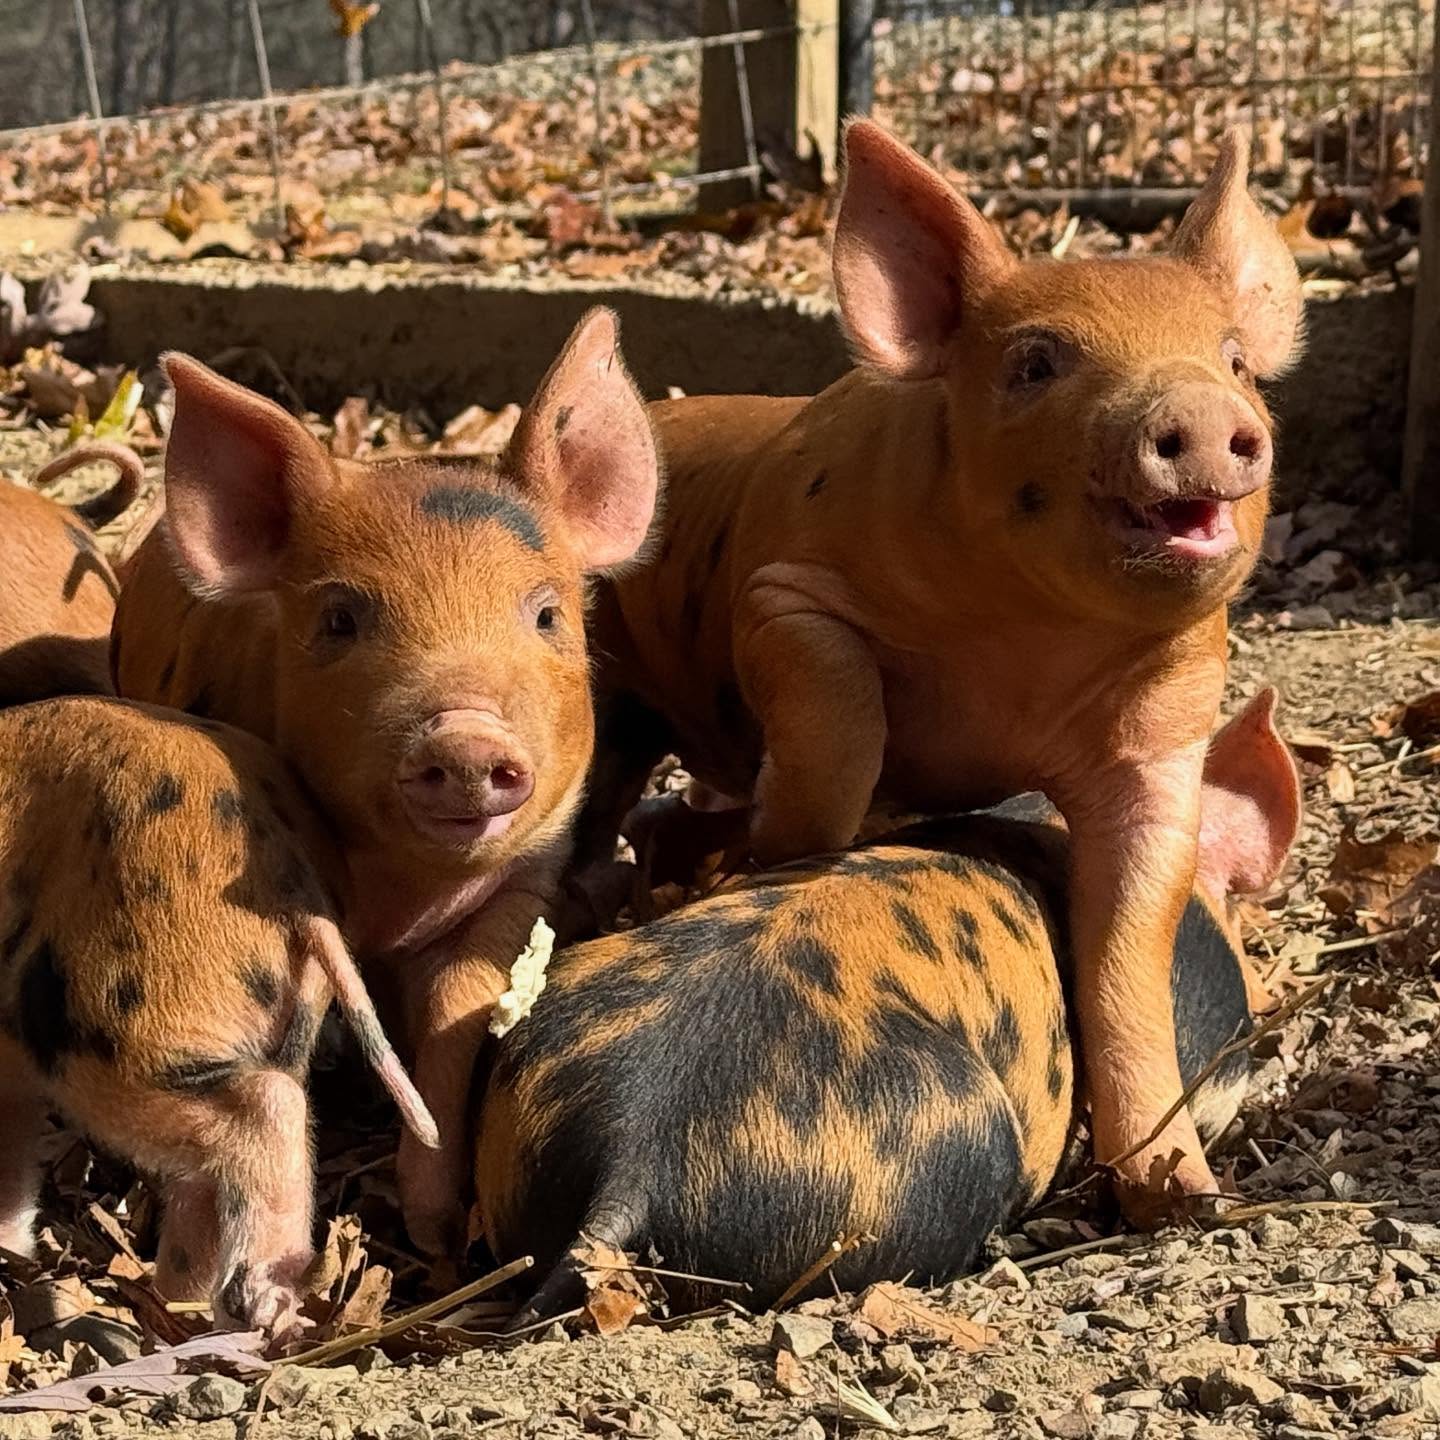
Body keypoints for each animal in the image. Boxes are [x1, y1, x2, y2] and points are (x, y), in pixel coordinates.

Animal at [109, 309, 661, 1257]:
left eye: (547, 614)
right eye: (340, 619)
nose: (467, 738)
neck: (400, 899)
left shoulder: (519, 893)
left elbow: (454, 1019)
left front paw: (437, 1237)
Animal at [579, 124, 1304, 1221]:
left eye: (1233, 359)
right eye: (1036, 362)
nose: (1198, 407)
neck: (1023, 664)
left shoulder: (1164, 730)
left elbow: (1133, 939)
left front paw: (1176, 1196)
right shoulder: (785, 598)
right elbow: (839, 749)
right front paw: (776, 849)